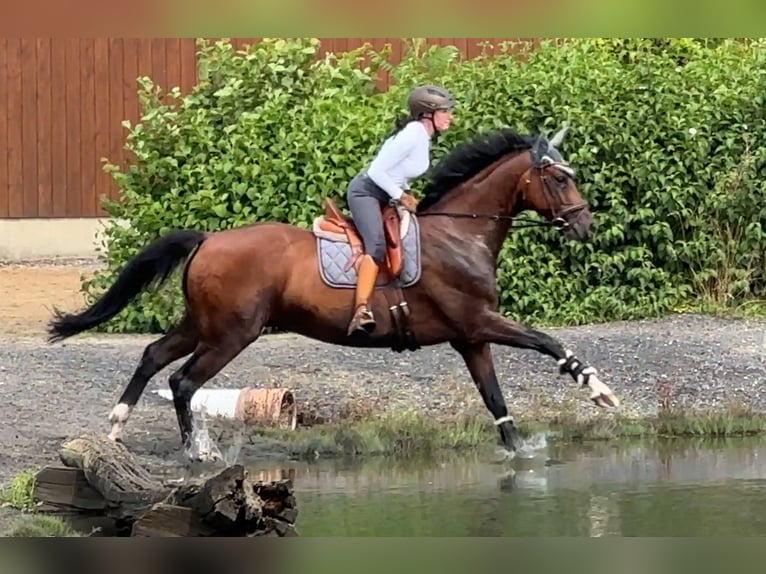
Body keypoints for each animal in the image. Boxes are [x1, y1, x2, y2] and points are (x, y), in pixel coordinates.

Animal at [46, 126, 624, 464]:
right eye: (559, 179)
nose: (586, 226)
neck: (463, 234)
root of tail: (209, 238)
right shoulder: (480, 321)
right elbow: (549, 343)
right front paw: (601, 392)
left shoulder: (470, 336)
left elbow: (495, 397)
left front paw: (518, 449)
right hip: (233, 332)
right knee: (183, 380)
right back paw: (197, 452)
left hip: (204, 323)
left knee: (153, 357)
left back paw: (118, 427)